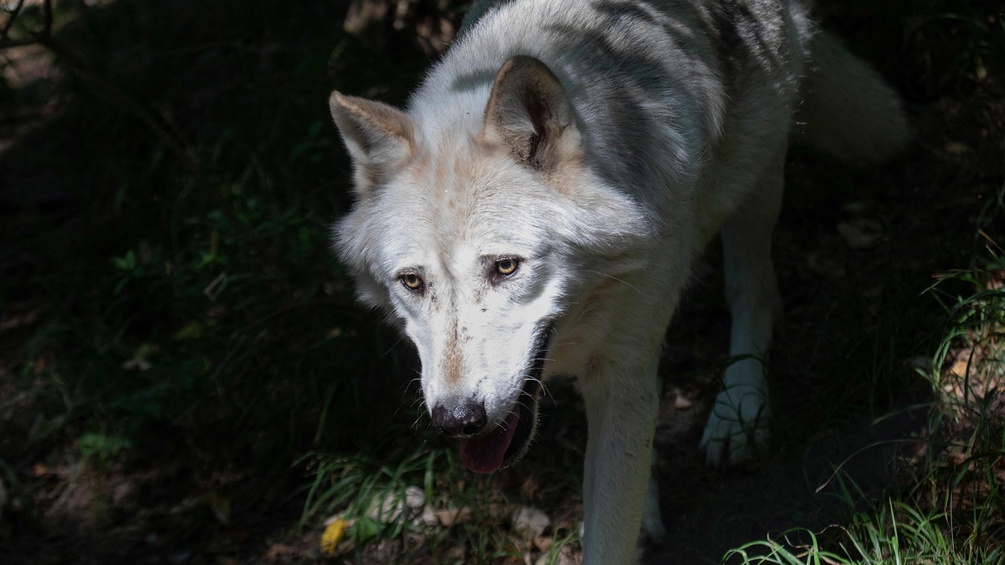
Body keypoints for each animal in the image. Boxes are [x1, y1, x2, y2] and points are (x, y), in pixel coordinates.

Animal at [331, 0, 912, 558]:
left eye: (505, 267)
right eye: (412, 282)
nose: (457, 420)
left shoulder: (624, 367)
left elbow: (609, 531)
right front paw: (642, 513)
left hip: (758, 178)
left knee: (755, 291)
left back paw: (739, 410)